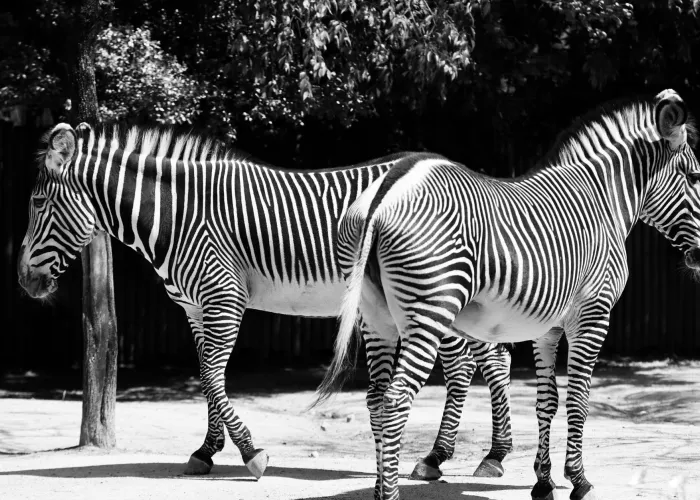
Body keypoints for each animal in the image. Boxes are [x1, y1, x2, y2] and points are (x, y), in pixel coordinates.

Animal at [16, 123, 513, 480]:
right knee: (490, 359)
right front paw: (206, 451)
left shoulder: (223, 296)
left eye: (38, 202)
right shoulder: (193, 307)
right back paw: (485, 454)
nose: (24, 281)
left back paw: (444, 458)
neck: (178, 216)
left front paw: (252, 453)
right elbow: (206, 377)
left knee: (469, 364)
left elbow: (212, 378)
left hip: (432, 292)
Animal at [314, 89, 700, 500]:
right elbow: (579, 399)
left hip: (375, 317)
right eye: (695, 176)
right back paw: (392, 492)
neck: (601, 200)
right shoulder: (593, 314)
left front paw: (544, 482)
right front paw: (579, 481)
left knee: (375, 398)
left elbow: (547, 401)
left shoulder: (547, 328)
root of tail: (387, 189)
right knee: (396, 398)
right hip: (429, 310)